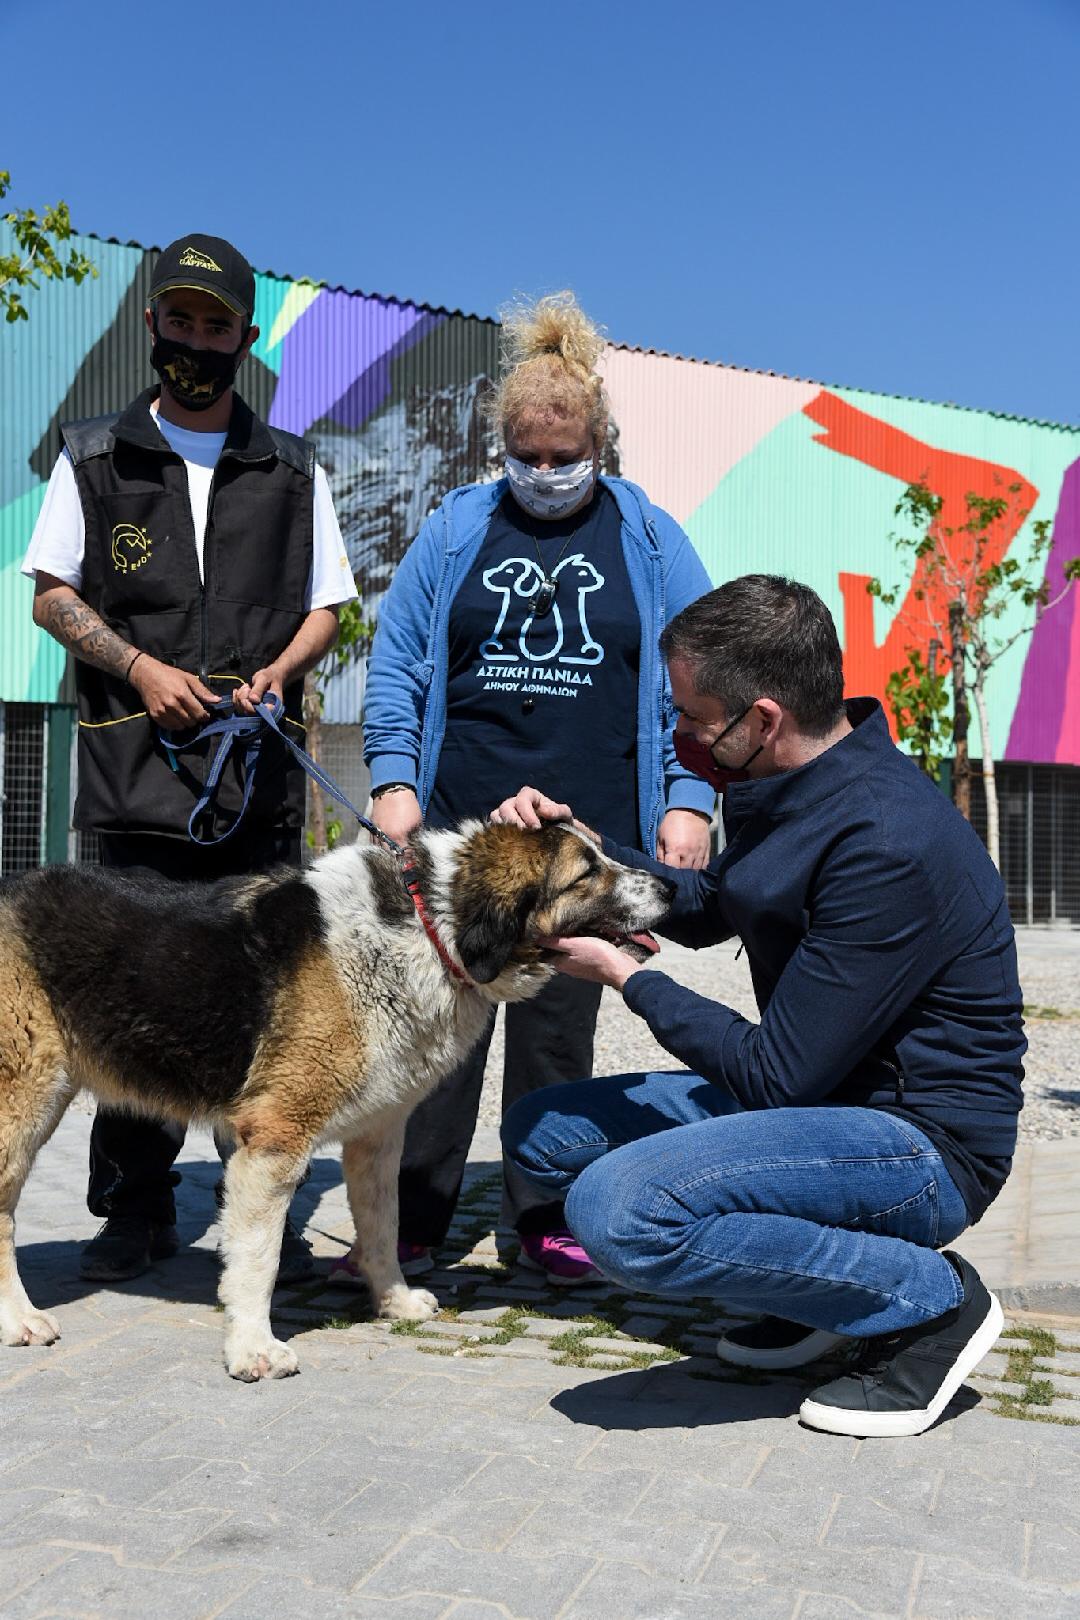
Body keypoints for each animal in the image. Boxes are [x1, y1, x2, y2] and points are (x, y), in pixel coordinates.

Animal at [0, 819, 671, 1380]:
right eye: (586, 872)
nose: (669, 884)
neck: (429, 930)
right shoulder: (274, 1137)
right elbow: (258, 1256)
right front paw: (252, 1349)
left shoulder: (379, 1134)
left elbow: (382, 1225)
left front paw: (394, 1301)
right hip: (25, 1105)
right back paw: (20, 1319)